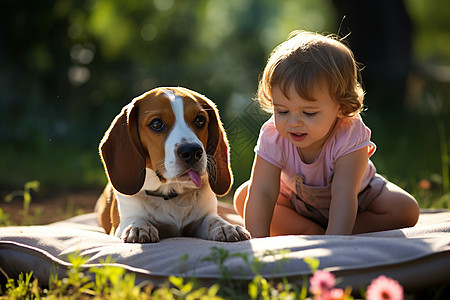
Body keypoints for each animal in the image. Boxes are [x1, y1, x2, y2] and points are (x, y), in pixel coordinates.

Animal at [96, 86, 250, 244]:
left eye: (200, 120)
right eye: (156, 123)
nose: (192, 151)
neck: (171, 194)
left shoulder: (201, 219)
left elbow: (213, 219)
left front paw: (226, 226)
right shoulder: (118, 226)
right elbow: (135, 219)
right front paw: (138, 226)